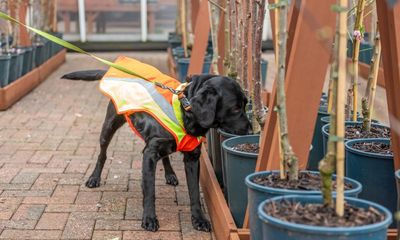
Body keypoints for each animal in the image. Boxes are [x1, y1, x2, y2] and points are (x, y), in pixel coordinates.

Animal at [62, 71, 250, 231]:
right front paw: (149, 219)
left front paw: (199, 219)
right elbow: (150, 191)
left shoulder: (192, 158)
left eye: (246, 104)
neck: (183, 111)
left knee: (165, 156)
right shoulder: (149, 155)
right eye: (235, 108)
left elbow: (195, 193)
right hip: (109, 126)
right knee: (102, 154)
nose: (250, 129)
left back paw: (170, 174)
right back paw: (94, 178)